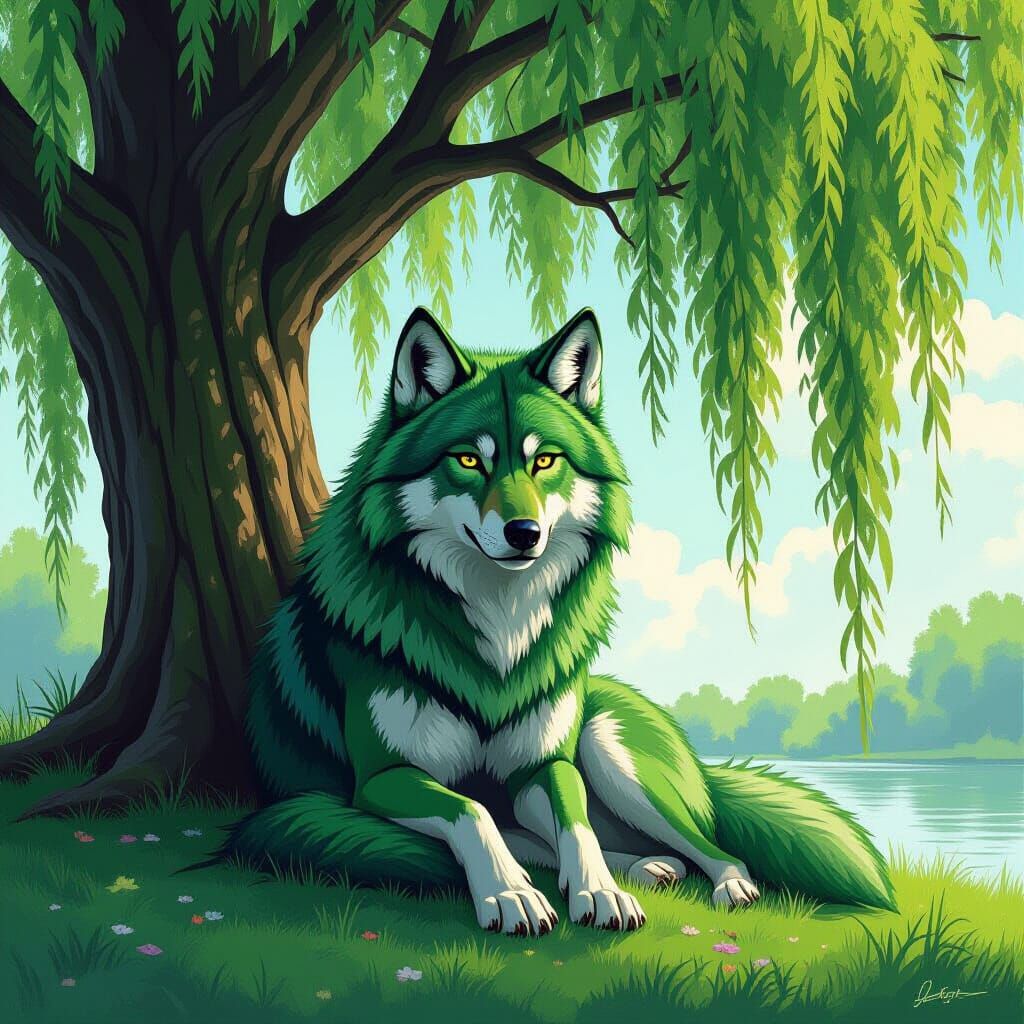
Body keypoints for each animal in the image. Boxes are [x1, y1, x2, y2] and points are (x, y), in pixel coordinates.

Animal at [224, 308, 896, 935]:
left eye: (545, 460)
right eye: (468, 459)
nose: (525, 533)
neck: (499, 626)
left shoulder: (544, 766)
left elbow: (575, 825)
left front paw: (598, 892)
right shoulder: (382, 776)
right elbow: (473, 813)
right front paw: (510, 895)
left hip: (614, 756)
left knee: (713, 848)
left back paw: (718, 884)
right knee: (535, 839)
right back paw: (644, 868)